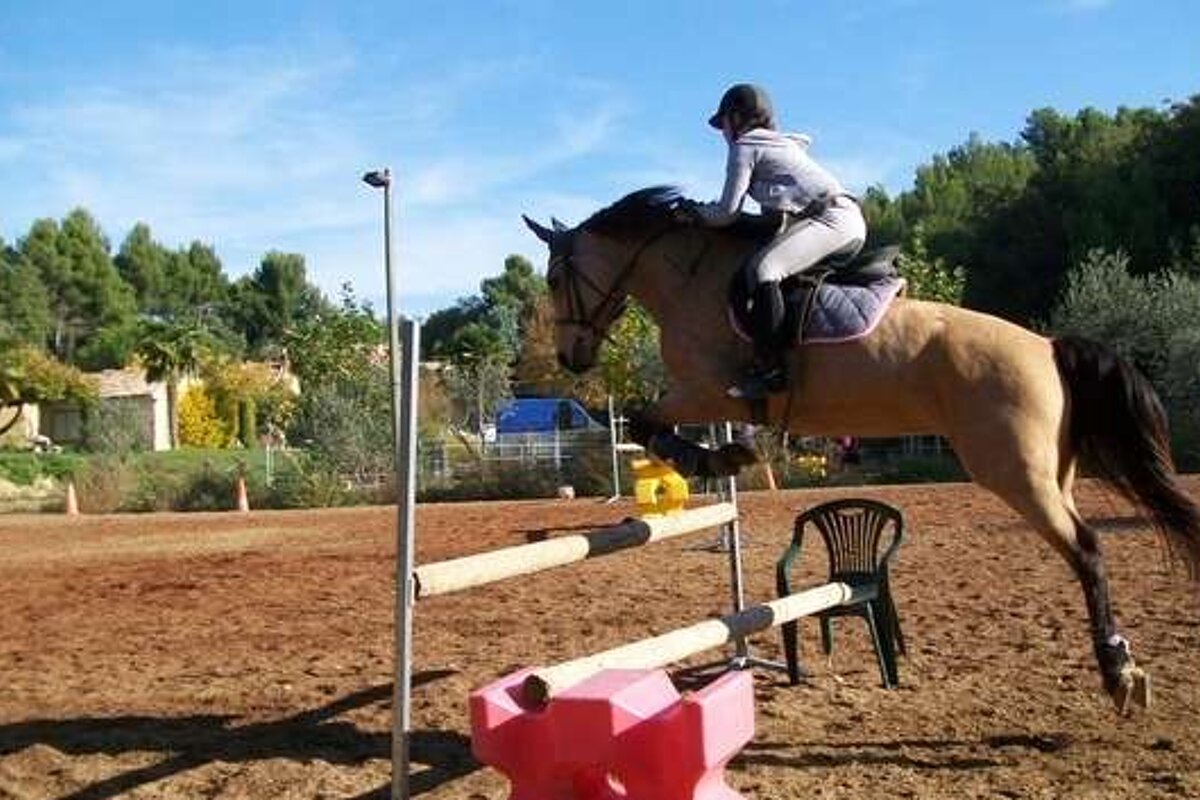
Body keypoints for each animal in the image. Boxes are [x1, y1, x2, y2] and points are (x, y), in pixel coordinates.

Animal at [523, 186, 1200, 714]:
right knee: (1086, 544)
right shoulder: (710, 397)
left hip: (1016, 474)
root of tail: (1047, 346)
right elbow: (663, 424)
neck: (691, 277)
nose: (570, 357)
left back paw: (1117, 671)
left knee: (1086, 550)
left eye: (556, 279)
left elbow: (647, 419)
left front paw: (712, 459)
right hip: (1052, 474)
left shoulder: (705, 389)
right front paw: (727, 457)